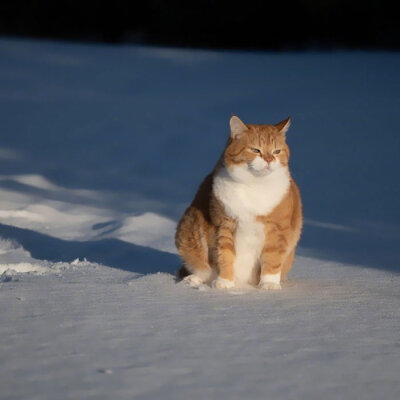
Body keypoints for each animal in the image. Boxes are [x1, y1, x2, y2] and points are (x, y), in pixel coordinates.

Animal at [176, 115, 304, 290]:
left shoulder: (277, 228)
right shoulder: (223, 225)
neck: (254, 185)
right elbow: (224, 255)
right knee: (201, 268)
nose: (269, 160)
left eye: (277, 151)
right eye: (255, 150)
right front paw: (225, 282)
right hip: (188, 229)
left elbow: (272, 258)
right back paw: (193, 280)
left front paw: (269, 284)